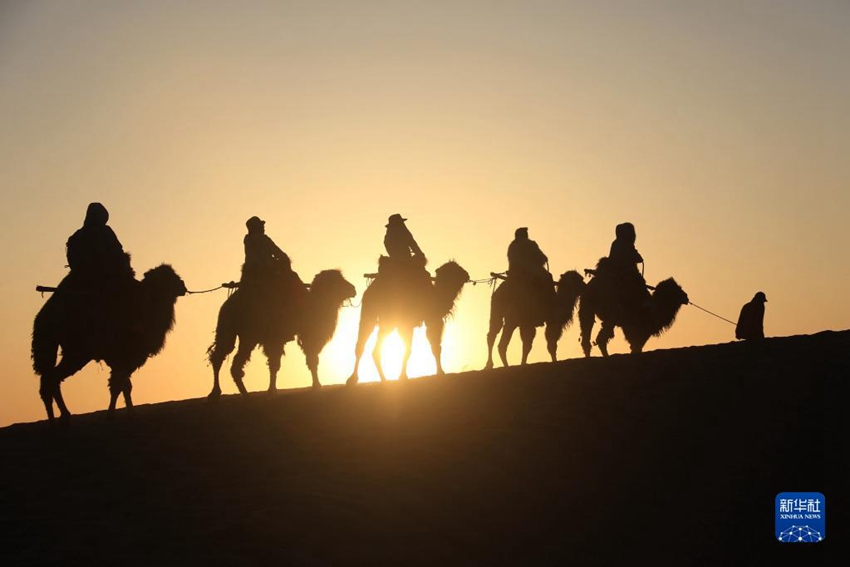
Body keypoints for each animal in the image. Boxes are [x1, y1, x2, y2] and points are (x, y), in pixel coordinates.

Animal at [32, 262, 188, 422]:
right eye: (170, 278)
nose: (183, 286)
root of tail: (42, 318)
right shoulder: (126, 357)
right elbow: (117, 386)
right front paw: (111, 414)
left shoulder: (120, 360)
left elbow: (125, 386)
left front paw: (131, 412)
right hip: (77, 353)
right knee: (52, 378)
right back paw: (62, 416)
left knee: (48, 380)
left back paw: (56, 418)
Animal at [209, 270, 354, 394]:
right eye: (338, 280)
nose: (353, 289)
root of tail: (229, 305)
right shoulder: (294, 337)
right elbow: (310, 360)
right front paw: (317, 386)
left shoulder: (276, 340)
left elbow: (275, 365)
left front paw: (272, 390)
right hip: (248, 335)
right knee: (233, 364)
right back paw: (237, 393)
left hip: (228, 331)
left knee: (220, 357)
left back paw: (219, 393)